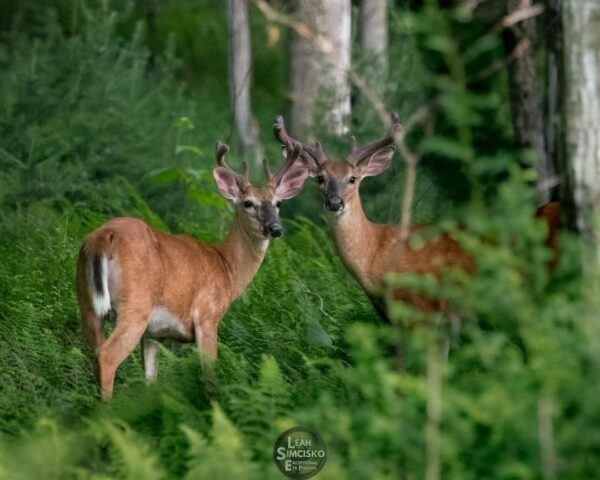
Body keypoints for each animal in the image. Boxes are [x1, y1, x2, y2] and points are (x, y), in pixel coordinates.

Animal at [75, 141, 310, 400]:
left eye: (278, 203)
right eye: (248, 203)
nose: (275, 228)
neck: (226, 267)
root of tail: (103, 237)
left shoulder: (153, 334)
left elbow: (150, 380)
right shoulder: (207, 315)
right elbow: (210, 376)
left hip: (88, 305)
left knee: (94, 352)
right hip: (135, 305)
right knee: (107, 355)